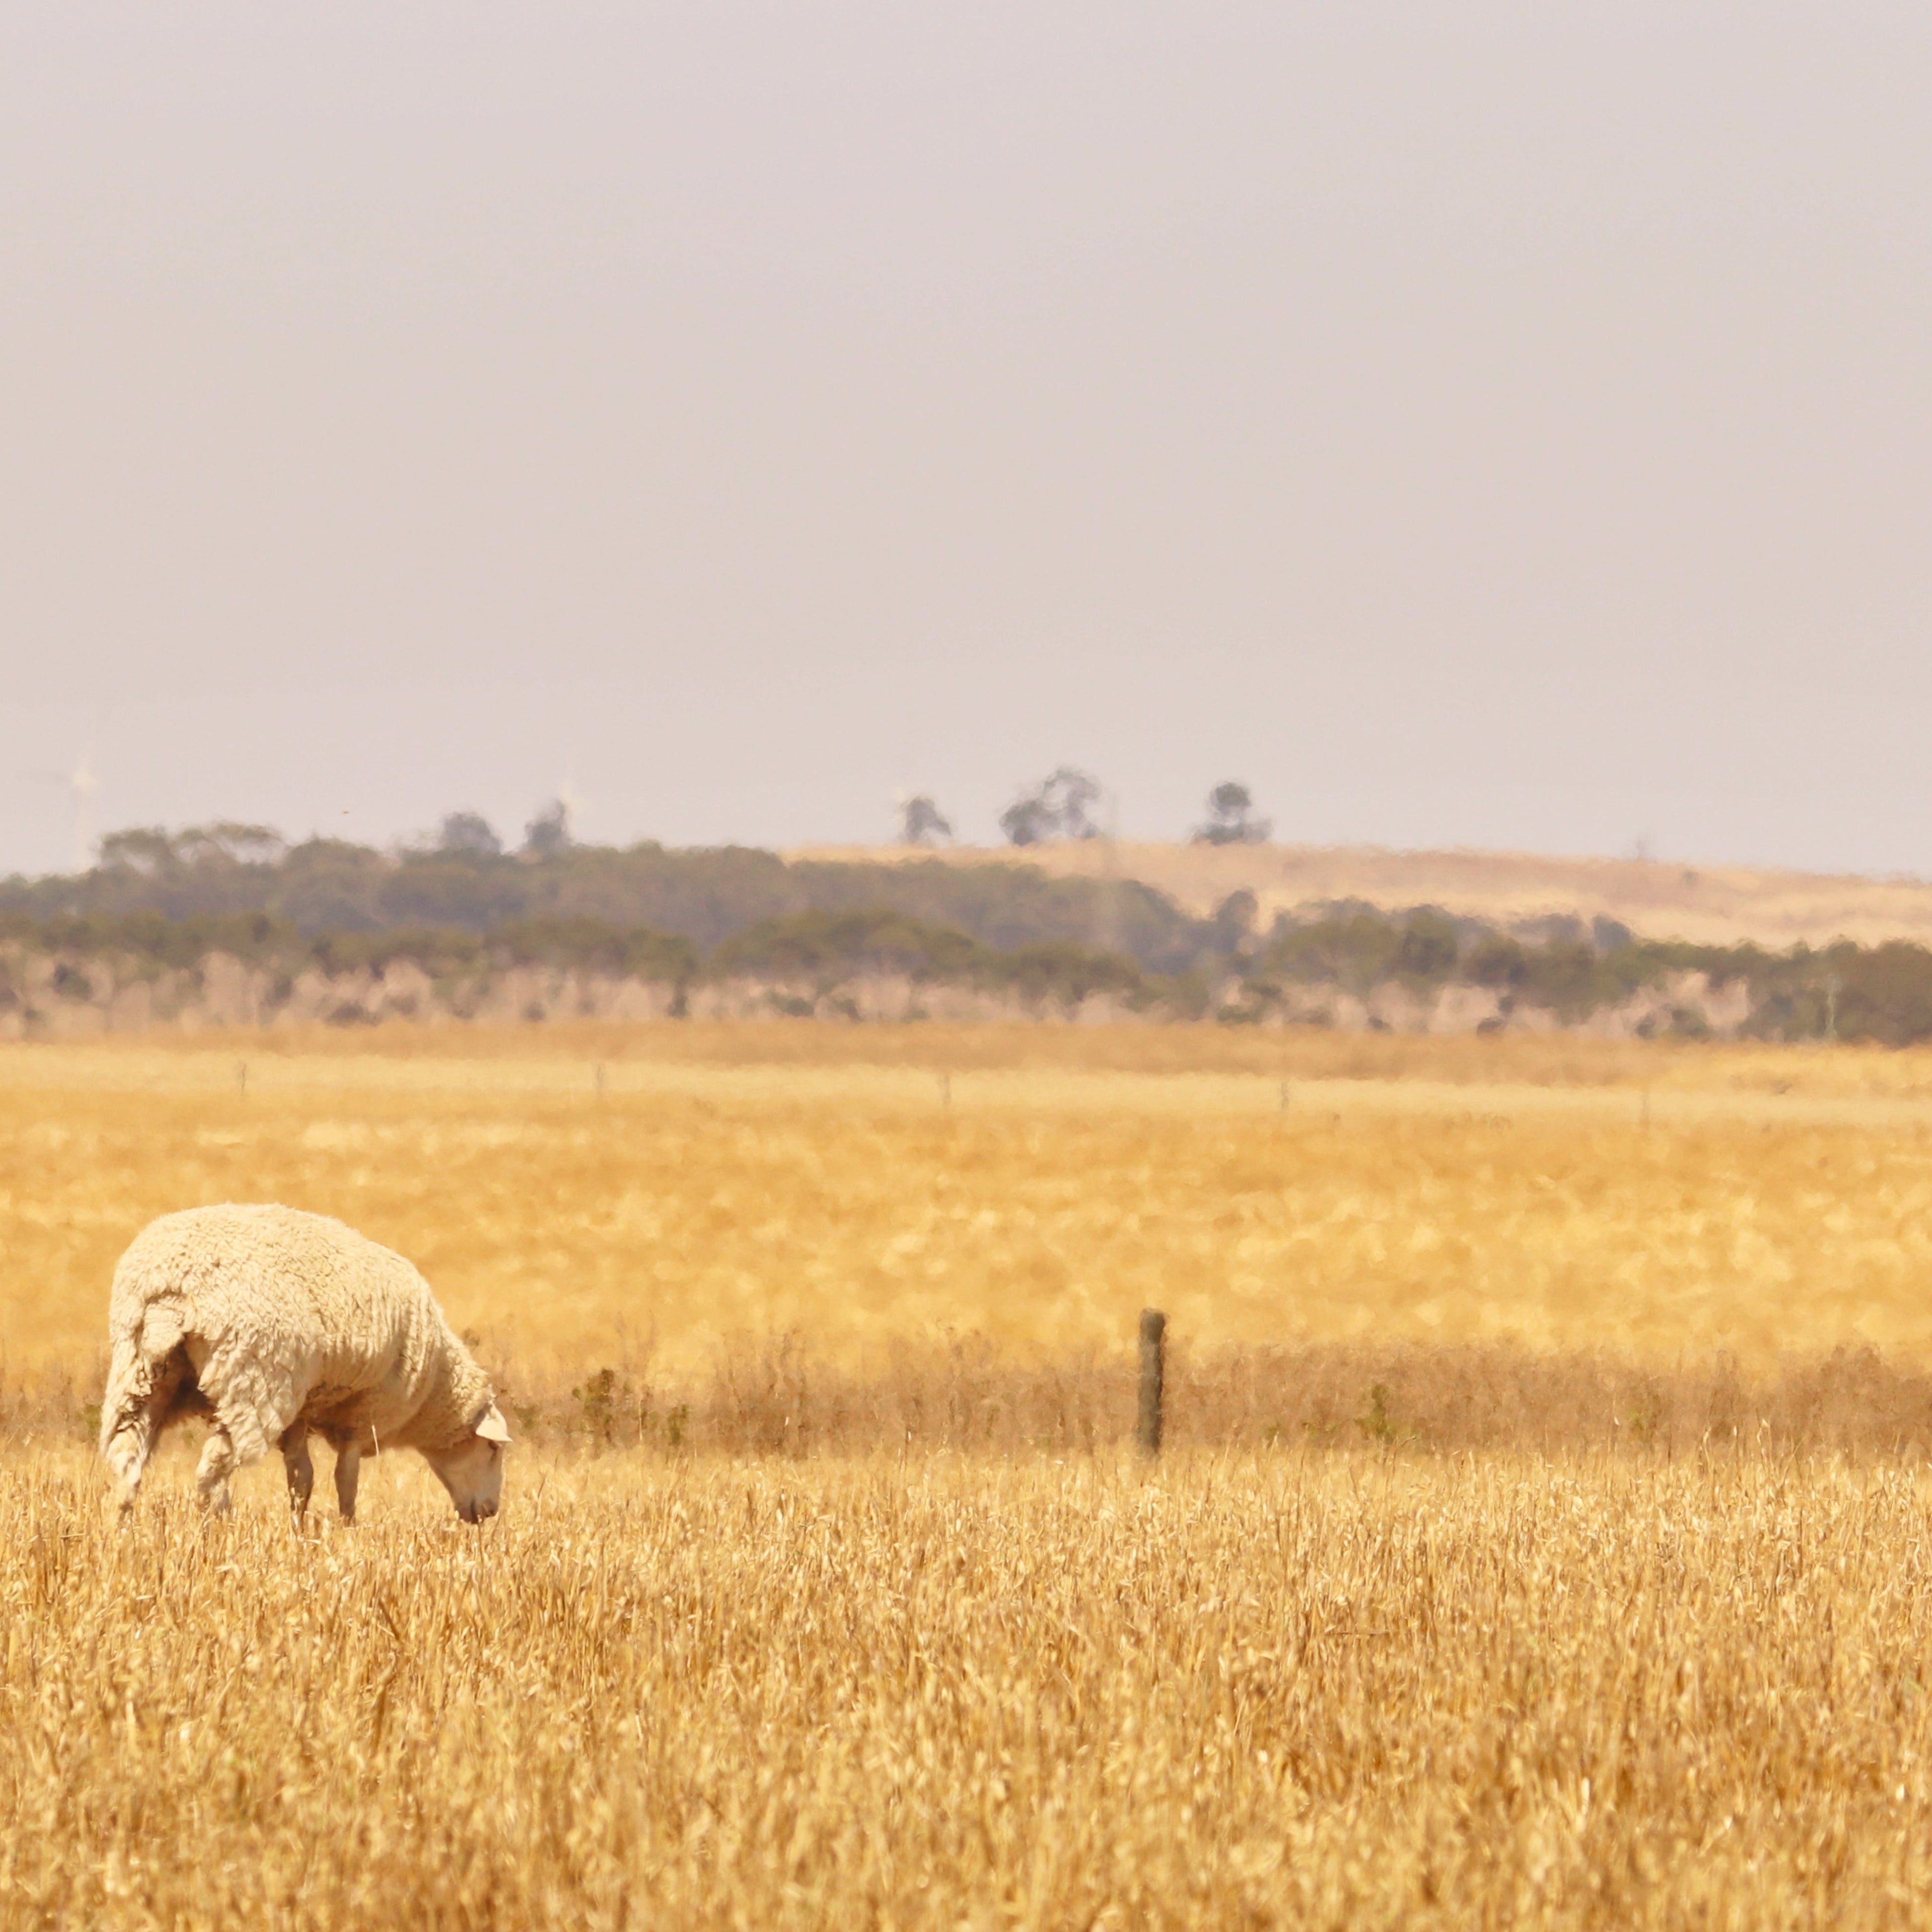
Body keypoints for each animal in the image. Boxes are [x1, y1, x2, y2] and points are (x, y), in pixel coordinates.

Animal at [99, 1203, 511, 1523]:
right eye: (494, 1449)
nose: (490, 1512)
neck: (434, 1390)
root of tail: (172, 1287)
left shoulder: (301, 1408)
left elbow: (302, 1477)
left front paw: (299, 1528)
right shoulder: (362, 1414)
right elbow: (346, 1480)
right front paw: (348, 1527)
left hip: (140, 1373)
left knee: (127, 1458)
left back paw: (121, 1529)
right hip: (253, 1380)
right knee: (211, 1471)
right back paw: (219, 1526)